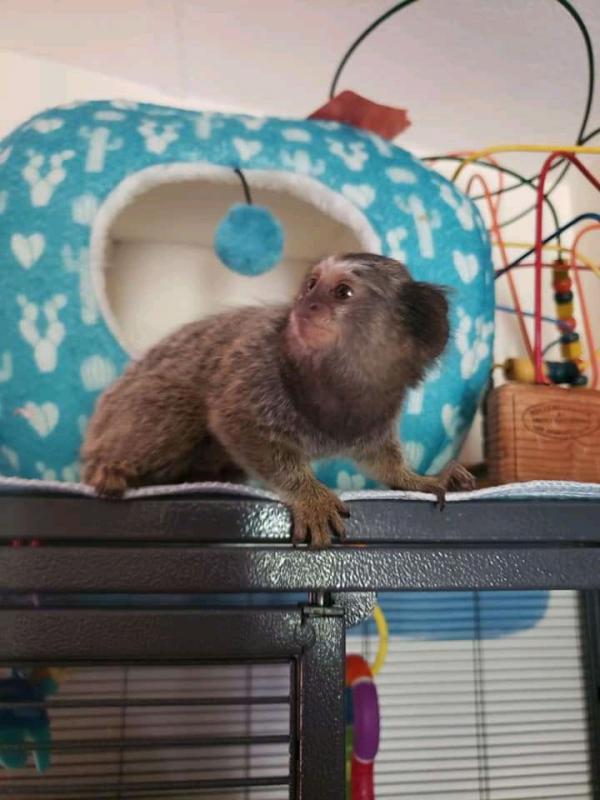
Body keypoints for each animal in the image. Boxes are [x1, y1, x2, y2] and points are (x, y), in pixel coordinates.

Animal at [82, 253, 475, 547]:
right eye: (312, 285)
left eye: (343, 292)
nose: (307, 305)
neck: (334, 382)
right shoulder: (257, 369)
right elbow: (236, 424)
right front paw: (310, 495)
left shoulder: (373, 417)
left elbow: (381, 460)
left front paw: (418, 479)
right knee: (179, 408)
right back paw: (109, 468)